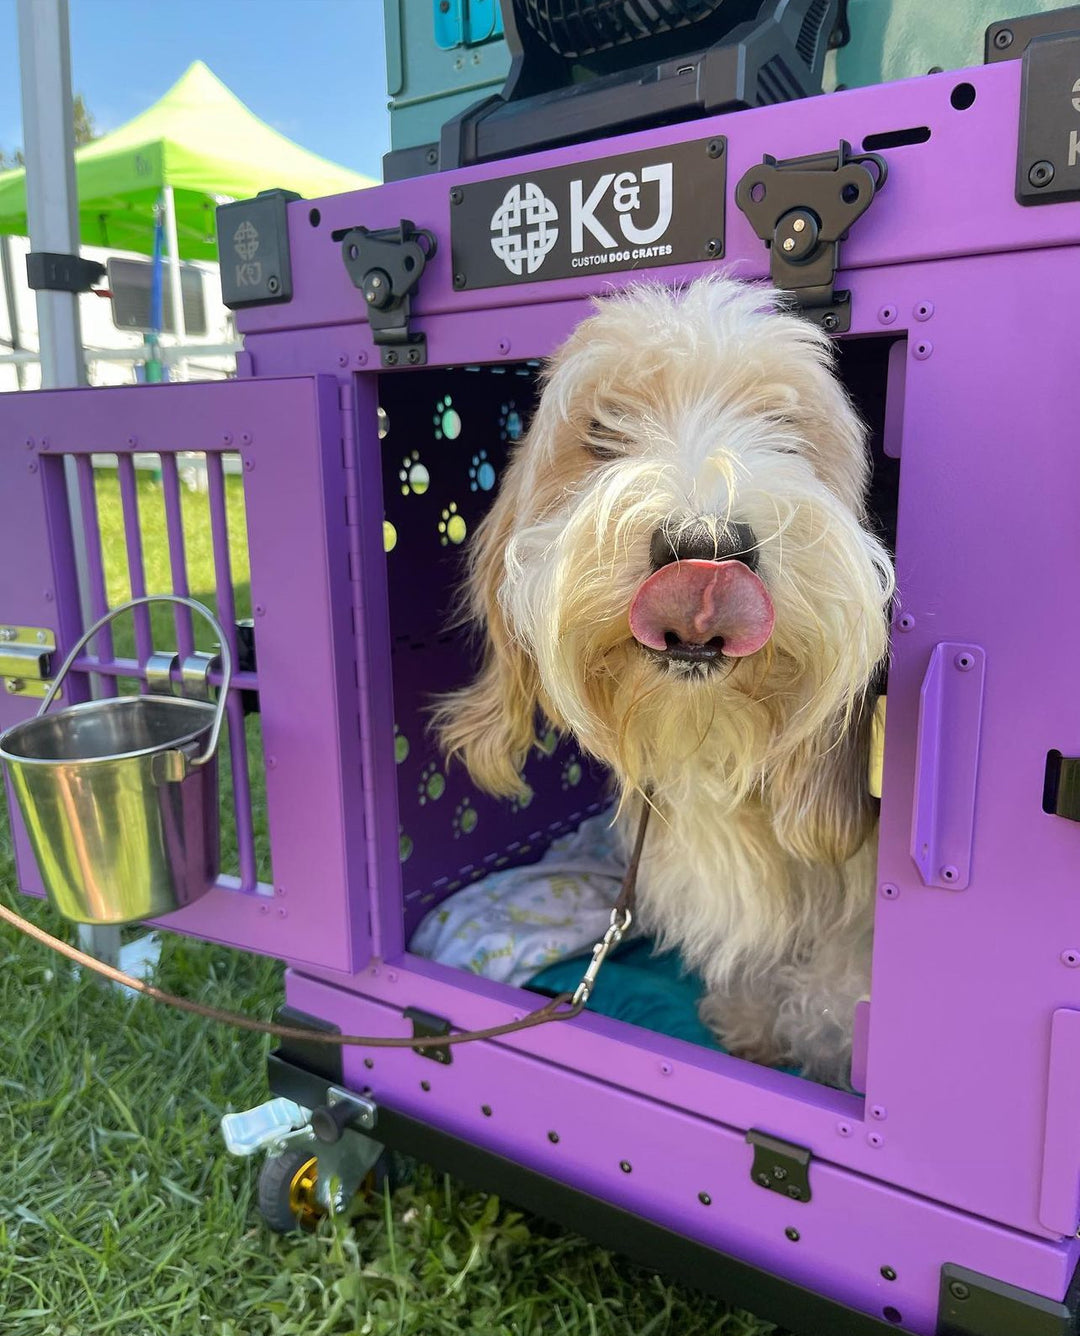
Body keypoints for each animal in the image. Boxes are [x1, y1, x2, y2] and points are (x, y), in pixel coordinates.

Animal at [435, 273, 892, 1084]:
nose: (705, 548)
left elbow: (839, 987)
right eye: (602, 430)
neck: (712, 740)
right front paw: (750, 1020)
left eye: (784, 427)